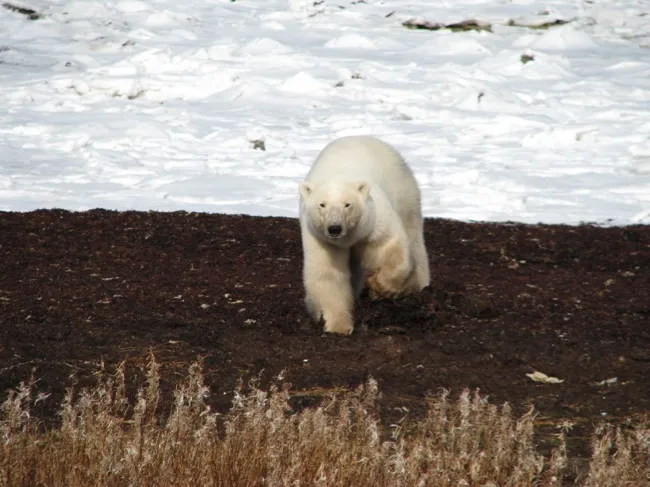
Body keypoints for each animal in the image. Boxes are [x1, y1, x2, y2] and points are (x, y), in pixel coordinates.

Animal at [296, 135, 428, 338]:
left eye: (347, 204)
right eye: (322, 204)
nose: (335, 228)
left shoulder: (373, 221)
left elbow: (389, 247)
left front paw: (378, 286)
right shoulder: (321, 239)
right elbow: (328, 273)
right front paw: (338, 326)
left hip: (403, 190)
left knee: (414, 237)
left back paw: (418, 285)